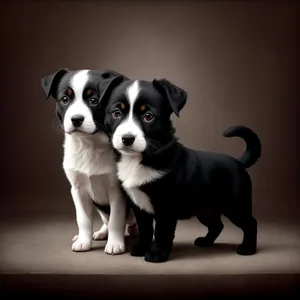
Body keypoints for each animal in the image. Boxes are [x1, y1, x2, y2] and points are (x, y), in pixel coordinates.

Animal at [40, 68, 138, 255]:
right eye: (65, 99)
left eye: (94, 100)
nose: (76, 119)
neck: (88, 144)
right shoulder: (77, 190)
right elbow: (83, 219)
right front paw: (83, 240)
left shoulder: (117, 191)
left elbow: (116, 219)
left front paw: (115, 244)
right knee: (106, 219)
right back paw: (101, 232)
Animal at [100, 77, 260, 262]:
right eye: (116, 113)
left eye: (148, 116)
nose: (127, 139)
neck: (141, 159)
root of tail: (239, 162)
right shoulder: (139, 205)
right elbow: (145, 229)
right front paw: (141, 248)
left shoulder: (166, 206)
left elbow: (162, 231)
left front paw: (156, 254)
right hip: (205, 209)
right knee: (217, 225)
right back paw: (205, 242)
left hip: (235, 205)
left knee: (250, 223)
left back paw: (248, 249)